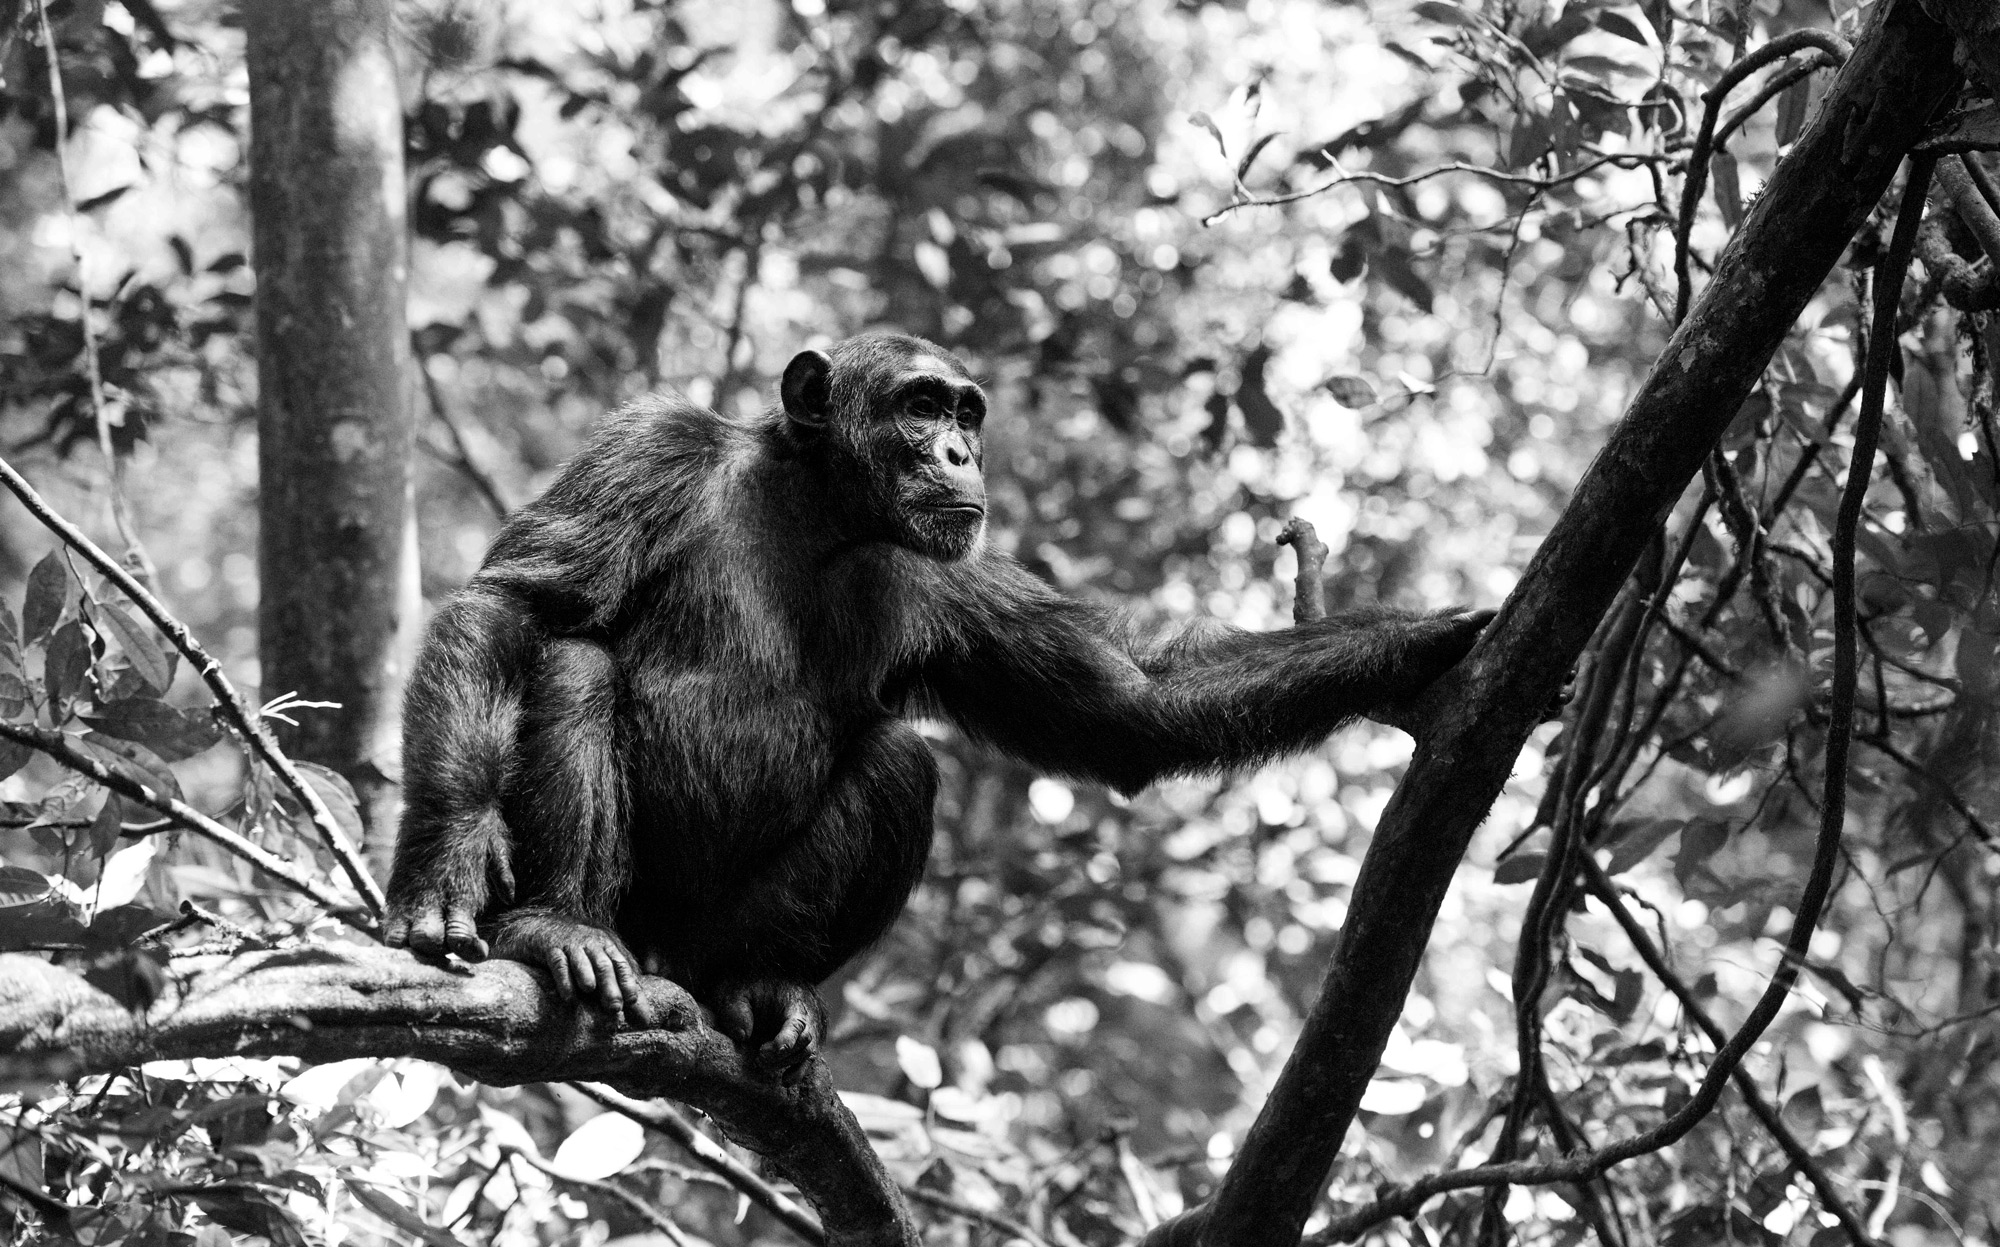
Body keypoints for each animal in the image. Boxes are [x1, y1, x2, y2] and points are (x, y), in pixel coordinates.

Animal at [382, 331, 1496, 1071]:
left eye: (966, 413)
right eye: (919, 404)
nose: (960, 453)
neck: (820, 506)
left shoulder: (955, 578)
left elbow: (1128, 704)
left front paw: (1427, 637)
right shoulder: (649, 446)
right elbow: (516, 603)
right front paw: (446, 859)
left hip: (704, 940)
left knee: (900, 764)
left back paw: (756, 982)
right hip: (637, 911)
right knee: (573, 663)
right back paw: (561, 929)